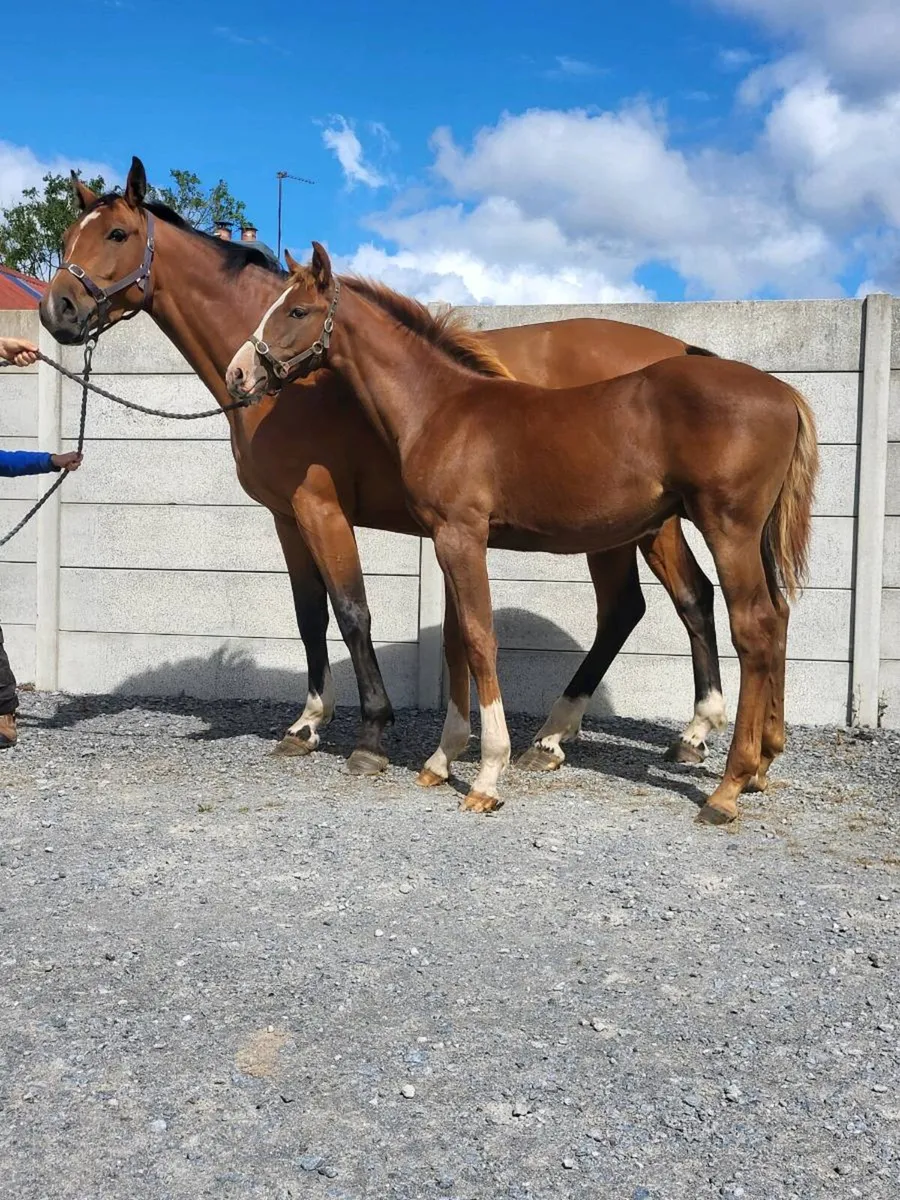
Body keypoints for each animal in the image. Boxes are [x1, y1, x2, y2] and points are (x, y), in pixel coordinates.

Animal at [40, 155, 725, 778]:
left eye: (117, 235)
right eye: (68, 237)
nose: (58, 312)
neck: (297, 385)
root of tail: (679, 349)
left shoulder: (321, 508)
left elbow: (352, 611)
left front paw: (372, 733)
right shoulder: (287, 517)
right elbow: (309, 614)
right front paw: (307, 723)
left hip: (629, 529)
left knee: (647, 604)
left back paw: (576, 735)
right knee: (675, 600)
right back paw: (674, 735)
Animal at [226, 244, 818, 825]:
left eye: (296, 311)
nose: (239, 373)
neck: (442, 408)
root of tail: (783, 390)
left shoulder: (461, 536)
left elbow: (480, 639)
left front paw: (488, 776)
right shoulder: (445, 539)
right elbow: (455, 640)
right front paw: (441, 761)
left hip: (727, 528)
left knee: (752, 627)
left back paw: (726, 787)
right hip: (748, 535)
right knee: (777, 615)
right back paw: (761, 766)